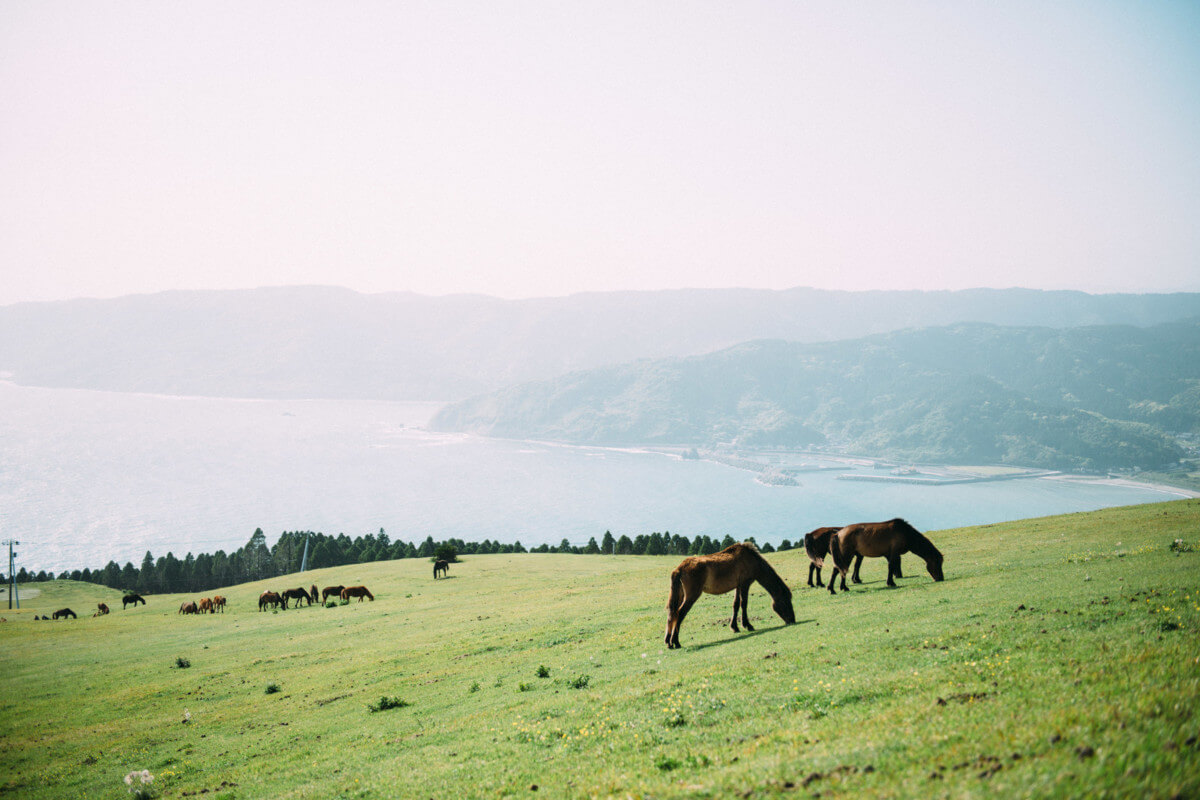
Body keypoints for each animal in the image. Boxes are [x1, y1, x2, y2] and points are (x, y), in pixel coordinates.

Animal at [662, 544, 792, 652]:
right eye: (785, 602)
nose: (792, 620)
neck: (751, 560)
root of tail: (679, 569)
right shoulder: (745, 584)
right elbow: (744, 603)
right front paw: (747, 625)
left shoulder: (738, 586)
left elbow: (736, 604)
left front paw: (735, 627)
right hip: (691, 596)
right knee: (680, 613)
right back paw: (676, 642)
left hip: (679, 595)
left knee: (672, 614)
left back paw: (669, 642)